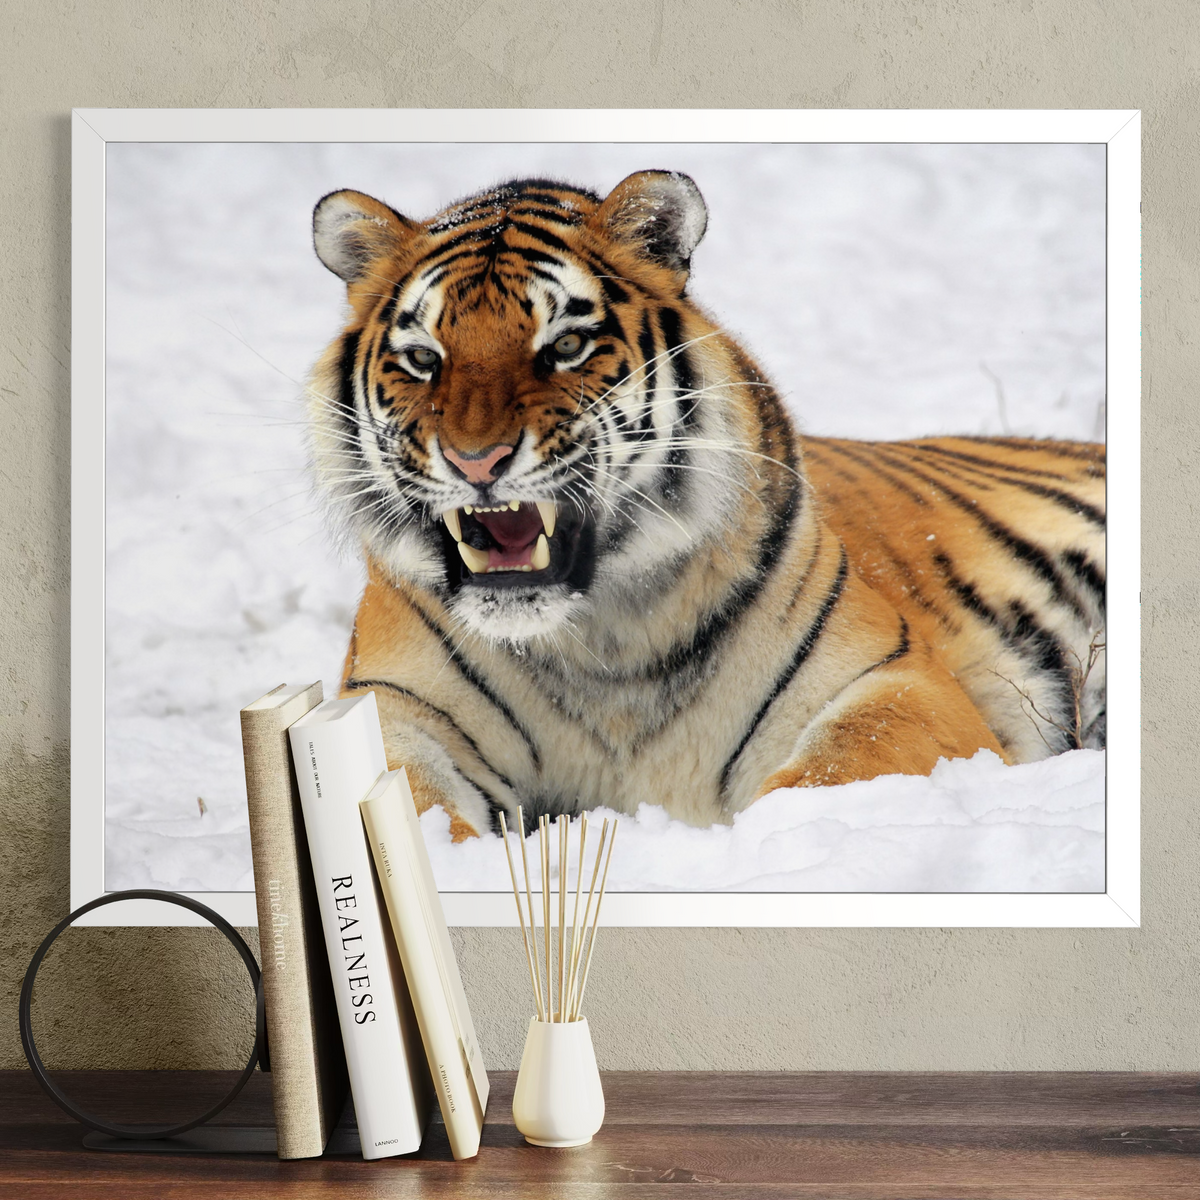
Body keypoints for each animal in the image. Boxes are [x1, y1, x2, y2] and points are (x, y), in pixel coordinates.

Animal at [305, 171, 1106, 840]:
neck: (598, 645)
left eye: (565, 345)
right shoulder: (396, 709)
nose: (476, 461)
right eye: (423, 358)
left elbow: (830, 773)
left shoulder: (894, 682)